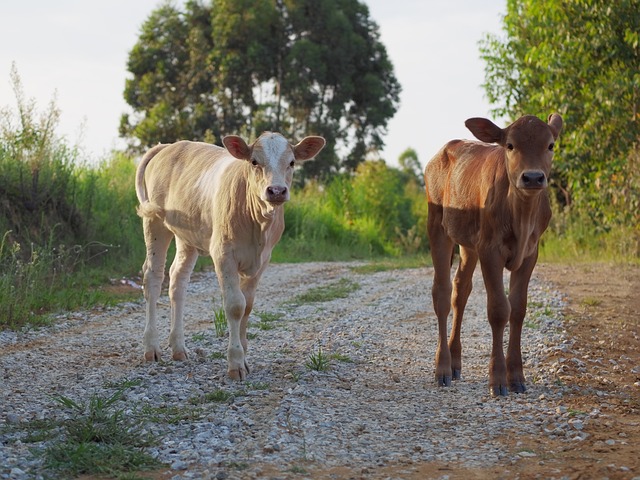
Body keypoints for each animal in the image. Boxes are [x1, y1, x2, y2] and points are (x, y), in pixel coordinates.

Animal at [424, 114, 564, 396]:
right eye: (510, 145)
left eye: (550, 145)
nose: (533, 177)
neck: (521, 216)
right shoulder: (490, 250)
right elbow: (499, 309)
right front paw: (497, 379)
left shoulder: (530, 253)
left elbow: (518, 308)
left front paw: (517, 376)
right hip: (437, 226)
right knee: (442, 293)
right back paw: (442, 367)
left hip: (468, 244)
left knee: (460, 291)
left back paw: (455, 363)